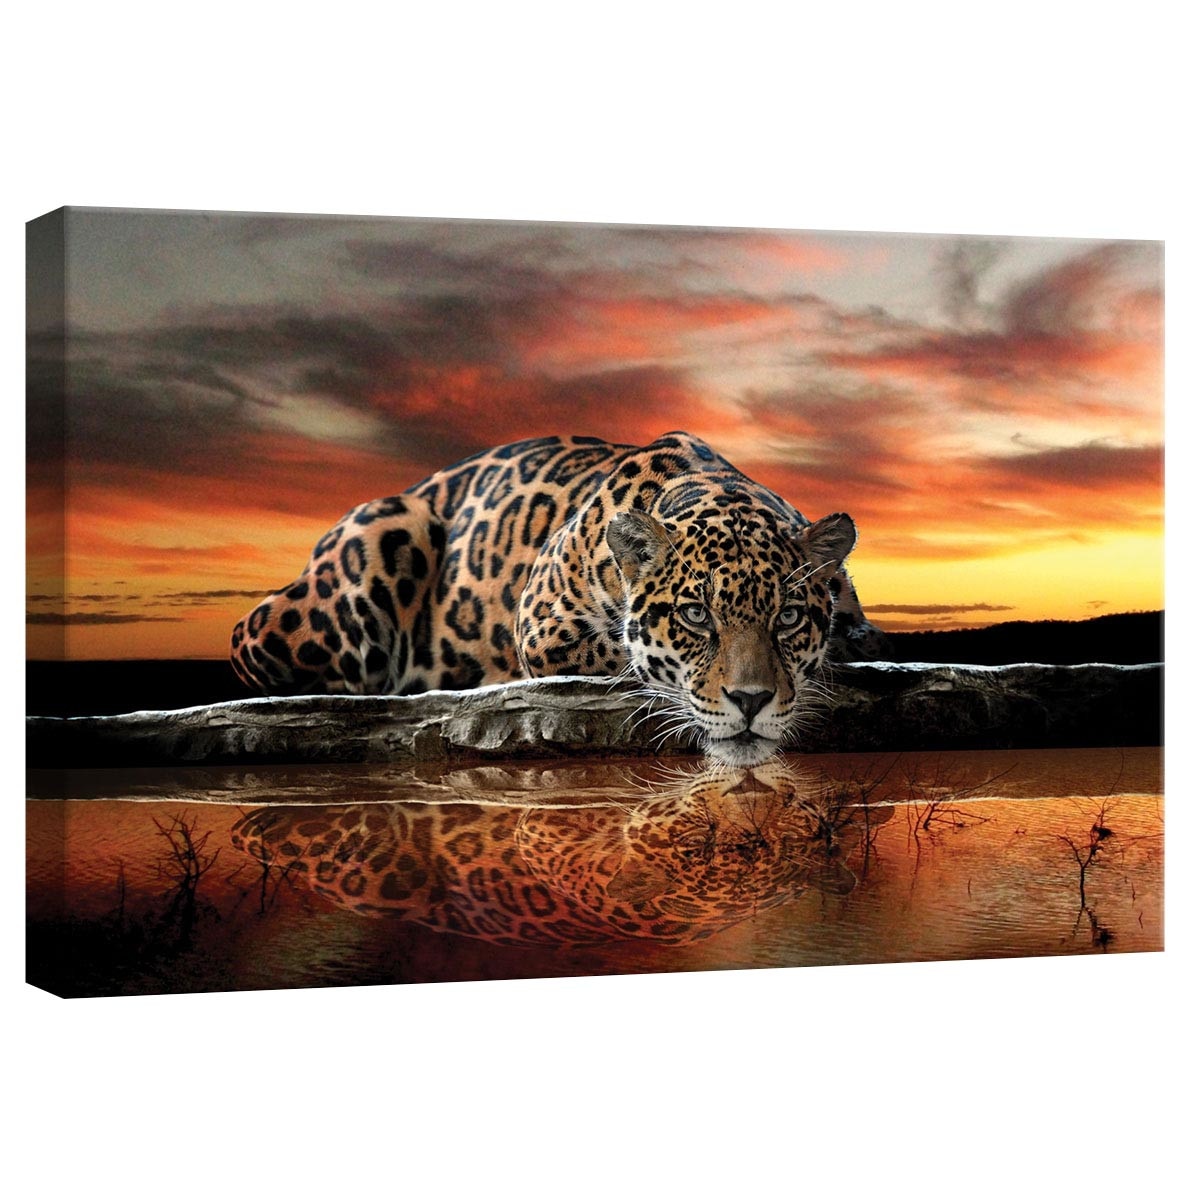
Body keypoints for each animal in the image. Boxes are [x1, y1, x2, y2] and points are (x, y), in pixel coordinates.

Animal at [230, 431, 888, 764]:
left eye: (789, 617)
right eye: (696, 616)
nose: (751, 701)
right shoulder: (545, 626)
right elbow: (624, 654)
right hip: (375, 544)